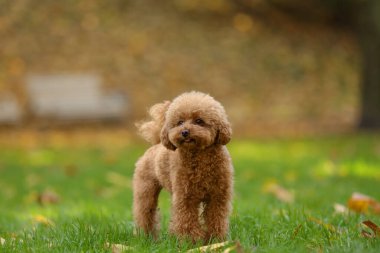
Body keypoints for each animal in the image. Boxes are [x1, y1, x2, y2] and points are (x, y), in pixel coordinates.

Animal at [134, 91, 233, 241]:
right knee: (145, 212)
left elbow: (216, 218)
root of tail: (157, 143)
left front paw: (215, 239)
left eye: (199, 121)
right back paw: (146, 237)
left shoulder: (218, 195)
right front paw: (190, 240)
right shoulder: (186, 196)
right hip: (146, 189)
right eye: (179, 122)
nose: (185, 132)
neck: (199, 155)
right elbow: (187, 219)